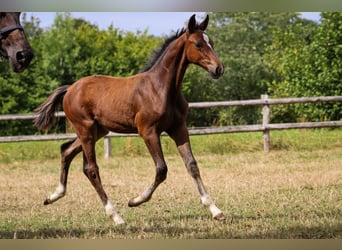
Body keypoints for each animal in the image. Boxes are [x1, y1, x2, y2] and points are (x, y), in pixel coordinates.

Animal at [34, 14, 224, 225]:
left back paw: (53, 196)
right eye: (198, 44)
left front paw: (215, 210)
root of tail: (69, 89)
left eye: (211, 42)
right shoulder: (148, 131)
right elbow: (161, 169)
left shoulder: (178, 128)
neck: (161, 88)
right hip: (85, 129)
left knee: (67, 151)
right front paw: (135, 200)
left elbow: (192, 165)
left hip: (97, 130)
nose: (218, 69)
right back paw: (116, 216)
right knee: (91, 168)